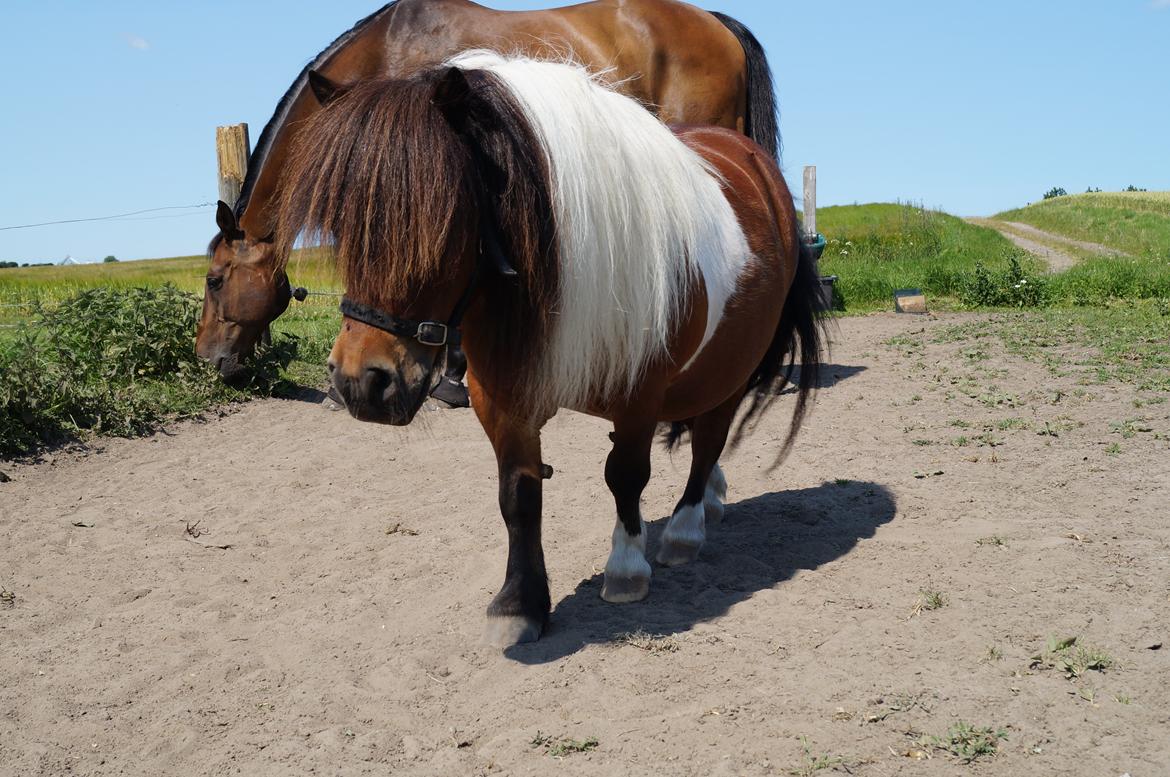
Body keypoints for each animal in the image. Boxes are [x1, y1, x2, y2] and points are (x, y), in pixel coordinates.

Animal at [273, 53, 823, 650]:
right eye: (340, 226)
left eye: (442, 219)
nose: (361, 383)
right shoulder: (502, 401)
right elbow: (518, 495)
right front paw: (520, 604)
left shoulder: (640, 393)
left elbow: (625, 475)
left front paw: (626, 569)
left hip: (732, 366)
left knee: (708, 439)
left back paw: (684, 529)